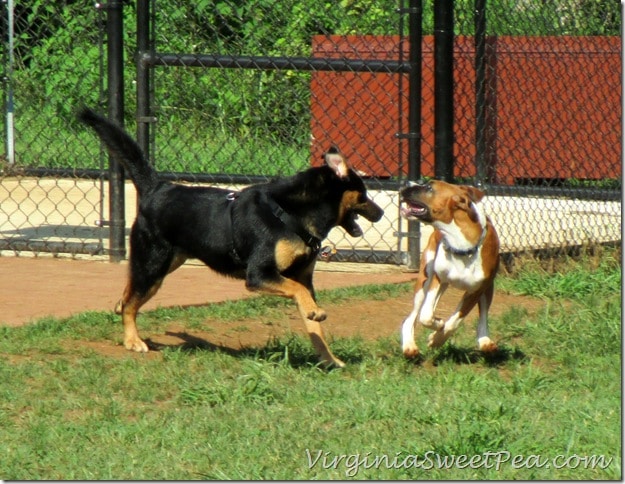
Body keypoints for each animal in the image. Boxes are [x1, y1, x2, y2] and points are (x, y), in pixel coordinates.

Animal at [78, 108, 380, 366]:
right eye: (364, 194)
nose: (381, 212)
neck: (289, 215)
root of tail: (157, 188)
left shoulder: (304, 278)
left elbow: (314, 324)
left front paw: (329, 359)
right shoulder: (259, 275)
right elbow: (299, 292)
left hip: (159, 267)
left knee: (126, 297)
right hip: (152, 265)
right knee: (131, 304)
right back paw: (132, 341)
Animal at [398, 180, 500, 358]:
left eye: (429, 187)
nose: (405, 182)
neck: (461, 247)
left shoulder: (476, 291)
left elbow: (455, 320)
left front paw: (437, 338)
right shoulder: (436, 280)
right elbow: (426, 315)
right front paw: (438, 325)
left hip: (488, 289)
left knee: (483, 316)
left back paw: (485, 341)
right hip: (424, 282)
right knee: (412, 317)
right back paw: (410, 346)